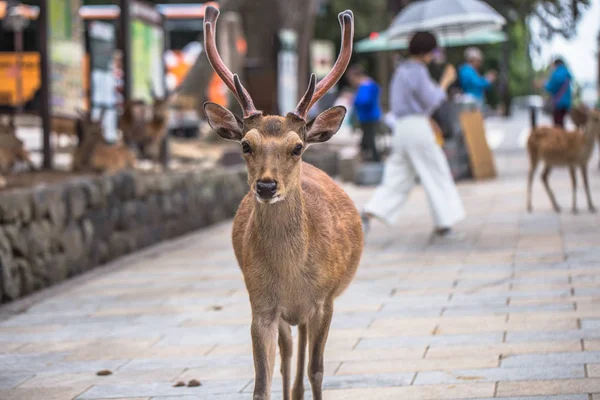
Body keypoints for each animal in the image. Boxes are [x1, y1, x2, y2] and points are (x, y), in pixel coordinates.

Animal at [202, 6, 360, 400]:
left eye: (297, 147)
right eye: (246, 145)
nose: (266, 185)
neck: (291, 275)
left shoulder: (325, 300)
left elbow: (317, 370)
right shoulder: (261, 303)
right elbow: (263, 383)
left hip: (310, 310)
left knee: (303, 356)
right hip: (286, 315)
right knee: (289, 354)